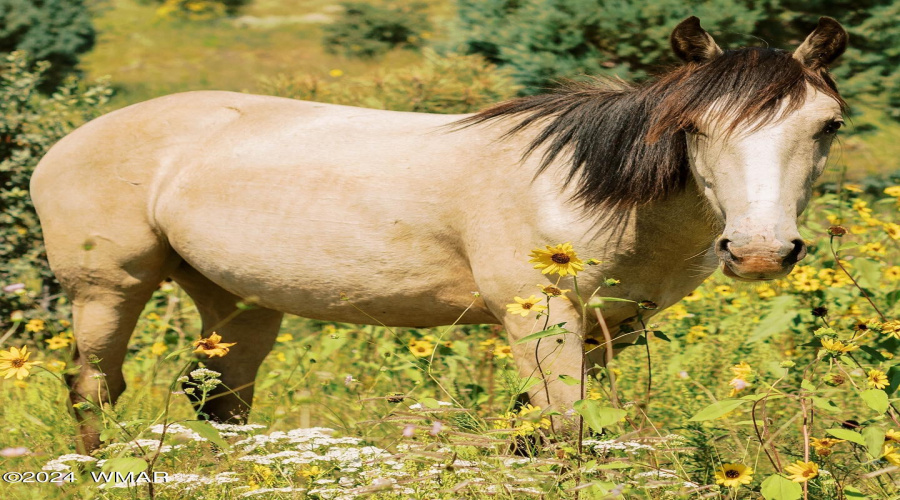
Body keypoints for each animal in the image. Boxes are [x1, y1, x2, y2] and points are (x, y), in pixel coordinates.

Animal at [31, 16, 852, 454]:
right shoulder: (539, 317)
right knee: (94, 386)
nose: (759, 250)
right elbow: (562, 427)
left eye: (828, 125)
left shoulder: (612, 328)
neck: (590, 188)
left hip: (237, 301)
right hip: (107, 291)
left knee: (219, 397)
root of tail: (67, 143)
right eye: (694, 127)